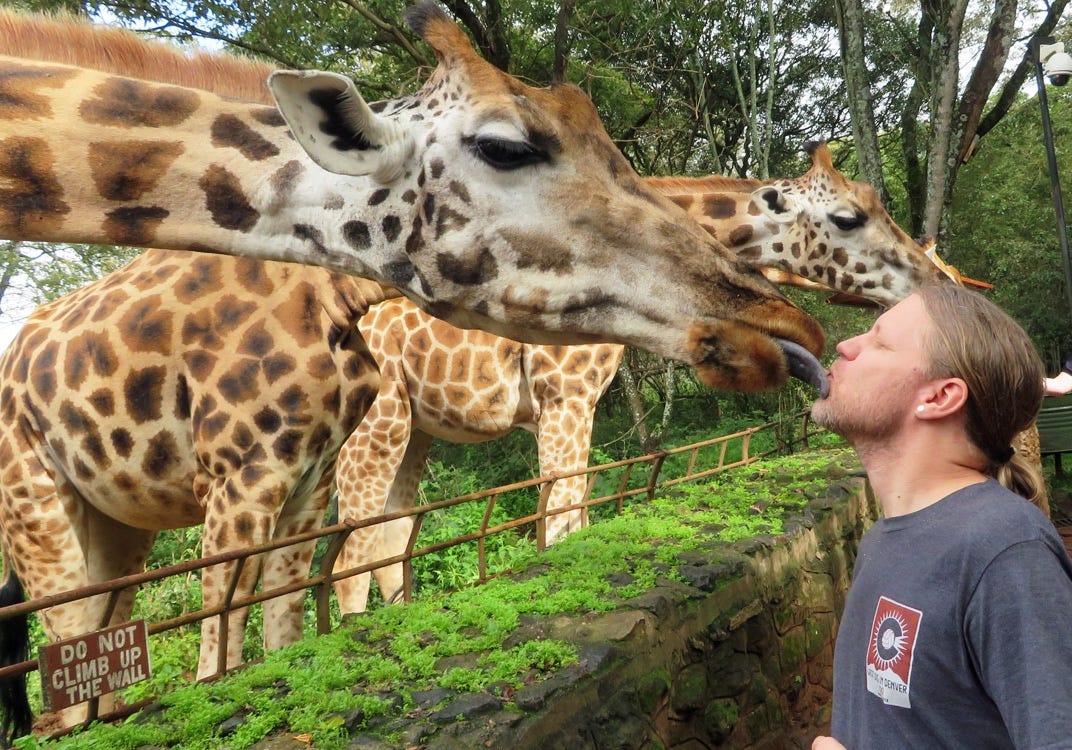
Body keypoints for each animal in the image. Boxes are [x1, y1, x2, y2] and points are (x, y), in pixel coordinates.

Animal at [0, 3, 833, 739]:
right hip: (42, 501)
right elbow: (560, 516)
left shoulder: (302, 480)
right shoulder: (248, 477)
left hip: (130, 513)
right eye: (506, 146)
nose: (788, 330)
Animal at [330, 142, 961, 615]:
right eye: (849, 218)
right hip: (373, 428)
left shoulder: (572, 404)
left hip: (416, 429)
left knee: (387, 542)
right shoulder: (565, 396)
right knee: (347, 559)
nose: (934, 281)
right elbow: (561, 520)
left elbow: (574, 515)